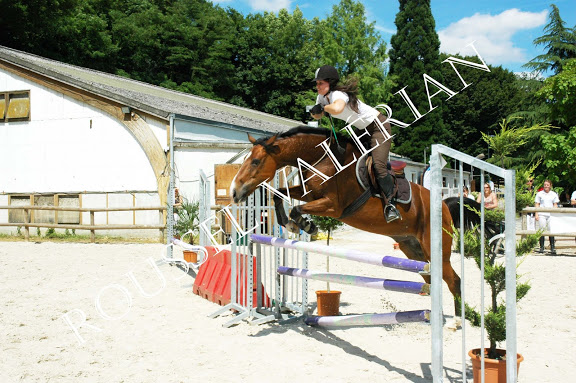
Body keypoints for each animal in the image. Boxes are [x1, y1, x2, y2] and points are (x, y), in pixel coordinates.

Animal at [232, 127, 480, 318]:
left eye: (256, 161)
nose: (235, 192)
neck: (322, 160)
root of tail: (444, 205)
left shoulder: (333, 206)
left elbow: (296, 207)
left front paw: (303, 224)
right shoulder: (309, 193)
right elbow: (280, 194)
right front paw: (292, 223)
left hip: (436, 249)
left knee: (453, 280)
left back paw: (459, 322)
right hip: (412, 249)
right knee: (431, 277)